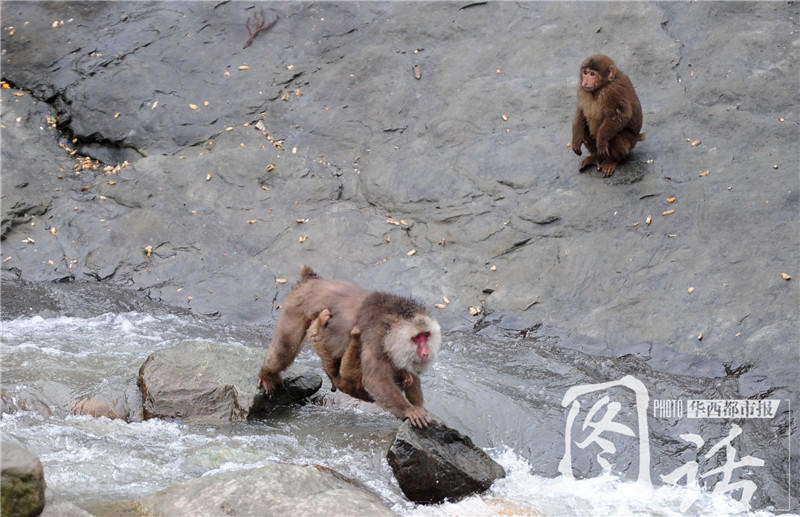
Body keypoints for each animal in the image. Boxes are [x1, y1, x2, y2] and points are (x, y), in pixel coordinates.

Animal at [260, 266, 440, 428]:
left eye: (426, 335)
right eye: (416, 338)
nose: (425, 352)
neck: (389, 323)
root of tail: (313, 280)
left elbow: (411, 374)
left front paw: (419, 407)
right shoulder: (375, 337)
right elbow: (375, 379)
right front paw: (409, 410)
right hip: (297, 305)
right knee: (286, 348)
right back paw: (267, 373)